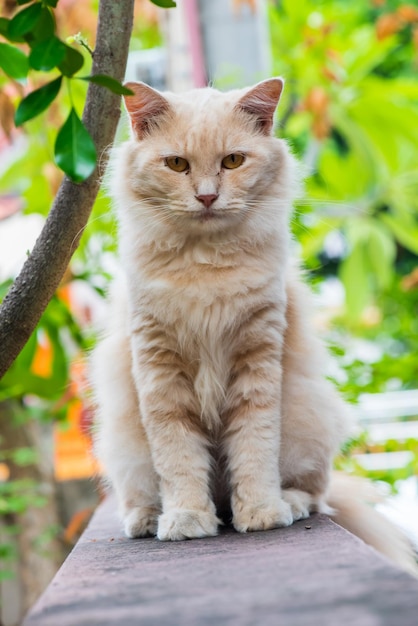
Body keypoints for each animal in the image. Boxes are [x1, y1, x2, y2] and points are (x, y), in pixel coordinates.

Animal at [90, 79, 416, 576]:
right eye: (177, 164)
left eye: (233, 161)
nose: (207, 197)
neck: (206, 266)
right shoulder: (159, 370)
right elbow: (178, 459)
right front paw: (186, 519)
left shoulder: (258, 359)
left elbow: (254, 449)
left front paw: (262, 513)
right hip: (125, 449)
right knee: (144, 493)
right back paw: (148, 519)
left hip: (308, 421)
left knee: (315, 494)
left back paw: (287, 504)